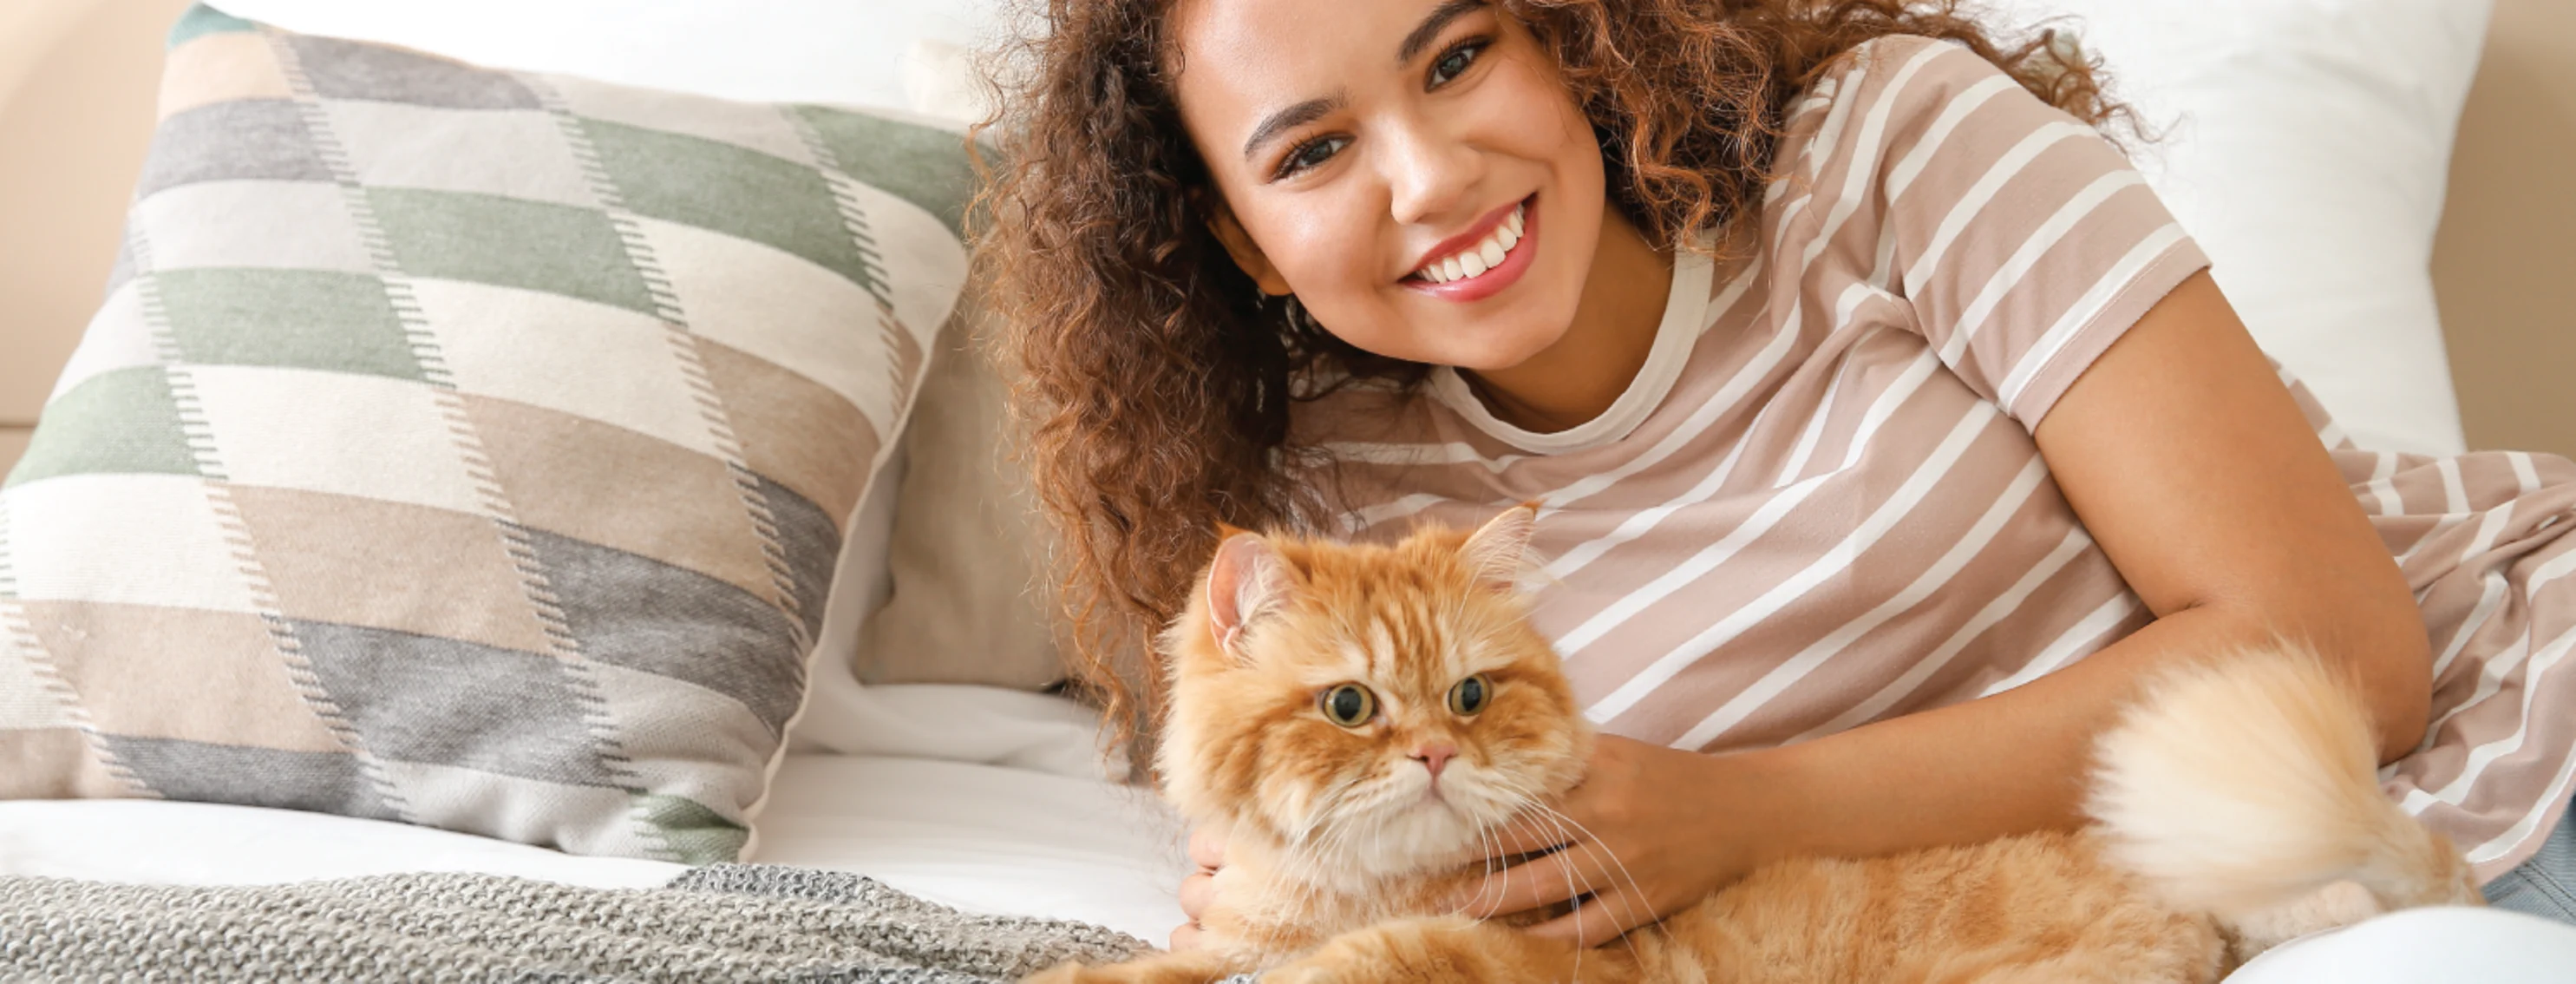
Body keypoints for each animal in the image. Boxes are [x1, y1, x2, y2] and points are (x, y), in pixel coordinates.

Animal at [1020, 507, 2473, 984]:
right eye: (1349, 708)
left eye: (1472, 695)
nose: (1433, 756)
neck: (1341, 888)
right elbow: (1139, 972)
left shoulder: (1537, 963)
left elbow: (1366, 961)